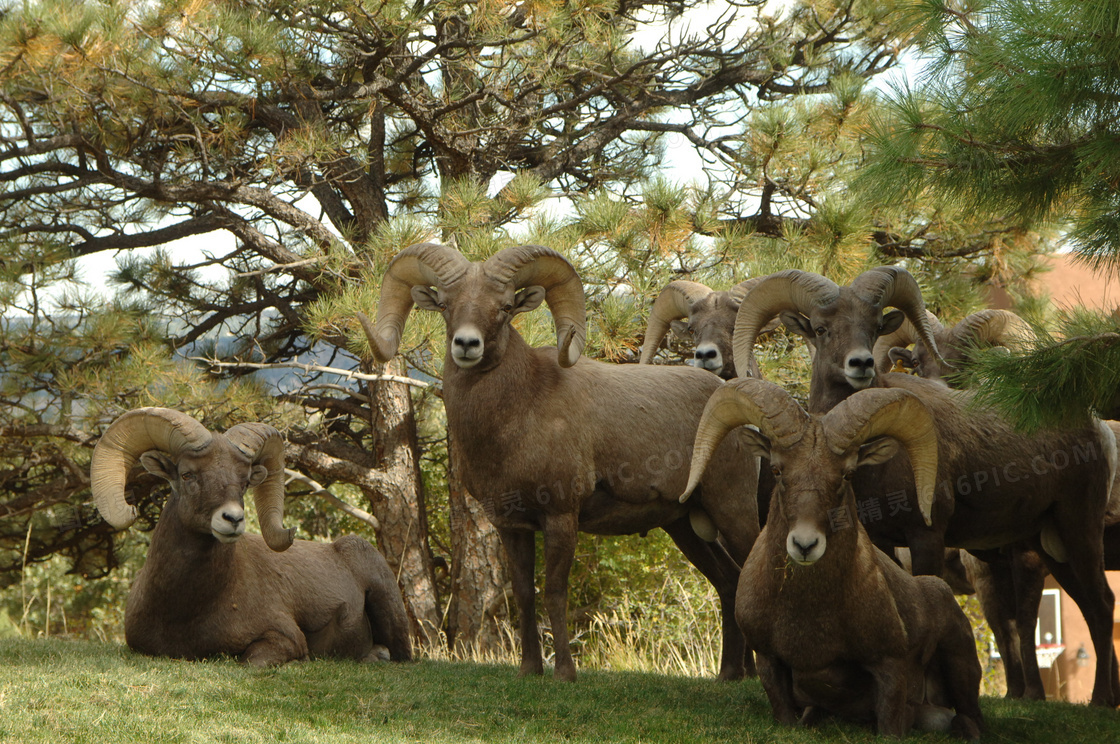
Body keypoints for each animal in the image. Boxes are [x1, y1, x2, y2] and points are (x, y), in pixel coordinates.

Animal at [88, 410, 412, 663]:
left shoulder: (283, 637)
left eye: (244, 482)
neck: (186, 609)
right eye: (187, 475)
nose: (232, 519)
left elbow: (251, 661)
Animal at [358, 243, 761, 681]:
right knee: (729, 583)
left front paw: (565, 673)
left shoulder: (561, 518)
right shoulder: (511, 526)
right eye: (446, 305)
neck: (517, 415)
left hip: (732, 510)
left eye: (504, 307)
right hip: (685, 527)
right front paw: (529, 670)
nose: (466, 345)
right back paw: (729, 675)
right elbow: (524, 594)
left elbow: (554, 592)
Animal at [680, 378, 981, 739]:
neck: (809, 616)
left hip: (960, 661)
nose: (805, 544)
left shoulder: (890, 668)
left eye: (847, 475)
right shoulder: (769, 663)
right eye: (777, 470)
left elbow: (890, 726)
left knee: (969, 718)